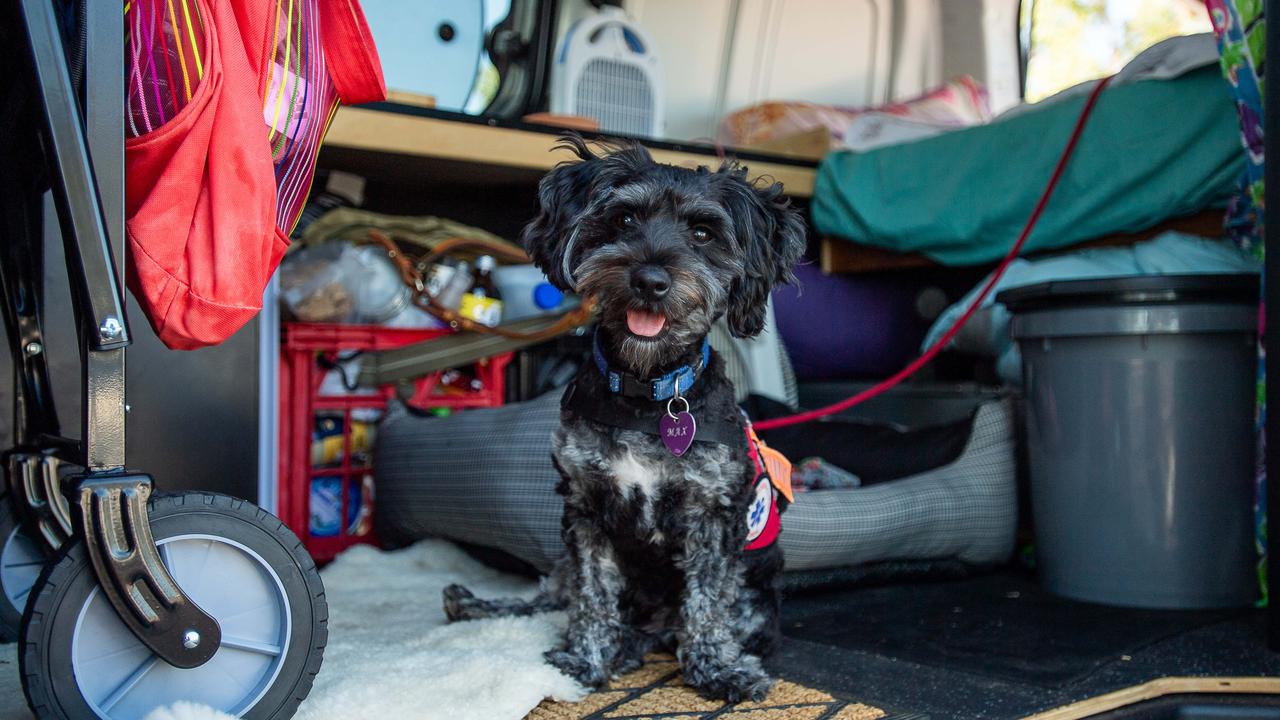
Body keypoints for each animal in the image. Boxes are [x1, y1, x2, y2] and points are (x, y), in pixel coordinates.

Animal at [440, 134, 798, 702]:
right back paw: (476, 605)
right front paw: (583, 660)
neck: (647, 394)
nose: (650, 280)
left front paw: (718, 669)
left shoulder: (713, 515)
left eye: (703, 233)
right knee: (553, 596)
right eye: (625, 219)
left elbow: (708, 603)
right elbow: (591, 595)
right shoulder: (586, 507)